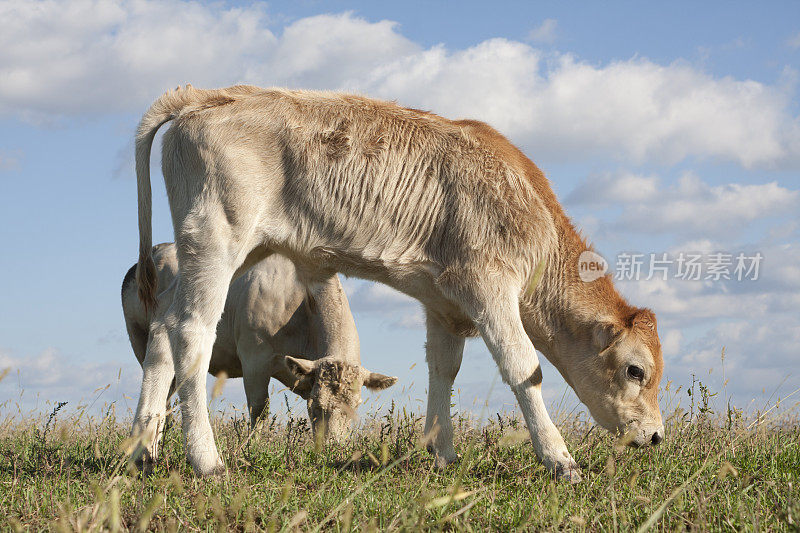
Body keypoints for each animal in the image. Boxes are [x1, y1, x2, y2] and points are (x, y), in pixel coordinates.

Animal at [134, 85, 664, 480]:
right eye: (634, 369)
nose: (658, 435)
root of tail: (210, 96)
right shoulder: (489, 286)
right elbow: (523, 367)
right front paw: (560, 459)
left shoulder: (446, 305)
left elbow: (443, 371)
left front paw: (443, 455)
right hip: (217, 240)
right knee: (191, 333)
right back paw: (207, 461)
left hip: (231, 251)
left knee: (162, 333)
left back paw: (144, 452)